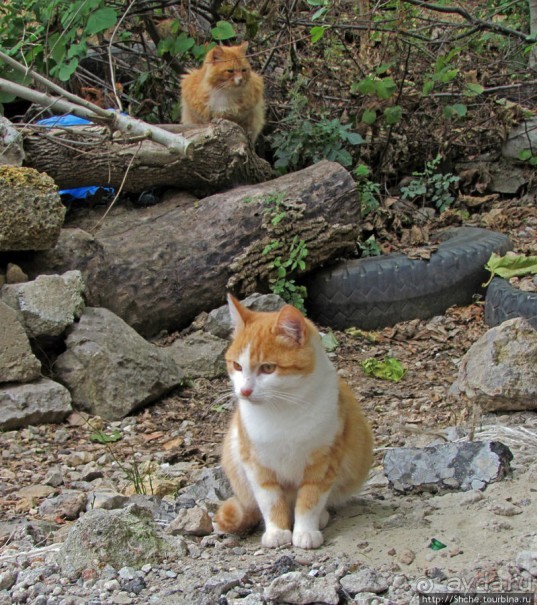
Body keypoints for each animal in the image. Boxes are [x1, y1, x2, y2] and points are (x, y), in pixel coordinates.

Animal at [214, 294, 372, 548]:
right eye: (237, 366)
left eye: (268, 368)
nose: (244, 391)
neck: (282, 411)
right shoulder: (257, 464)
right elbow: (270, 501)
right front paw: (277, 531)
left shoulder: (324, 462)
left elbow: (310, 499)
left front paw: (305, 531)